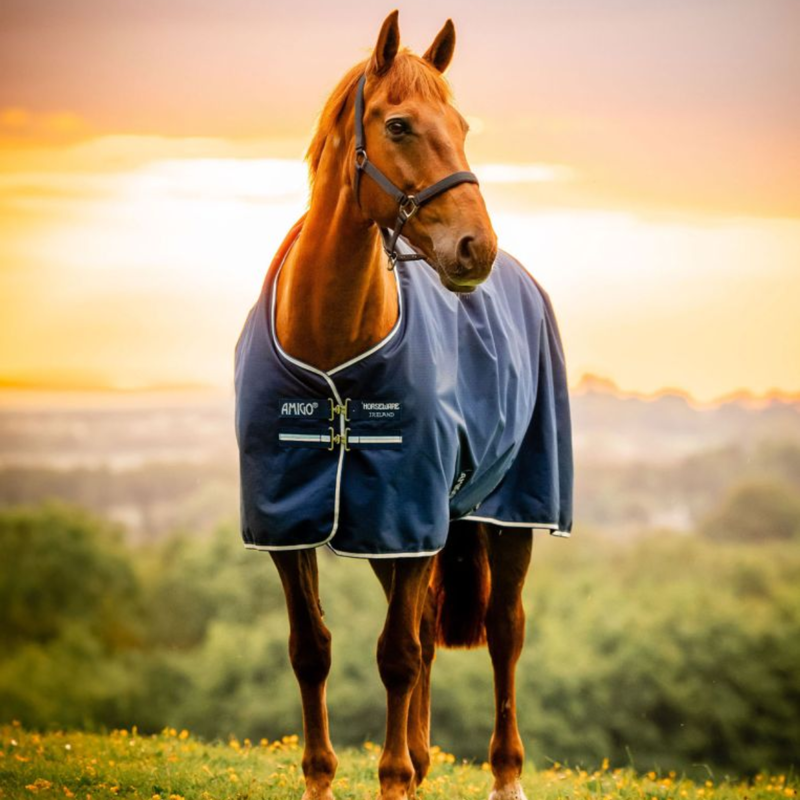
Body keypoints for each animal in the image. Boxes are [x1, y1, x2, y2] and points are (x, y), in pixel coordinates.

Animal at [234, 11, 573, 800]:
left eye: (463, 124)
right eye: (398, 124)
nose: (475, 248)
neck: (332, 346)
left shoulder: (408, 507)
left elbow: (395, 654)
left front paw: (391, 781)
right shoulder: (298, 523)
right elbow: (312, 649)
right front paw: (324, 780)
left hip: (508, 512)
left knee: (503, 631)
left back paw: (502, 774)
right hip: (400, 536)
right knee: (423, 636)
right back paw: (419, 759)